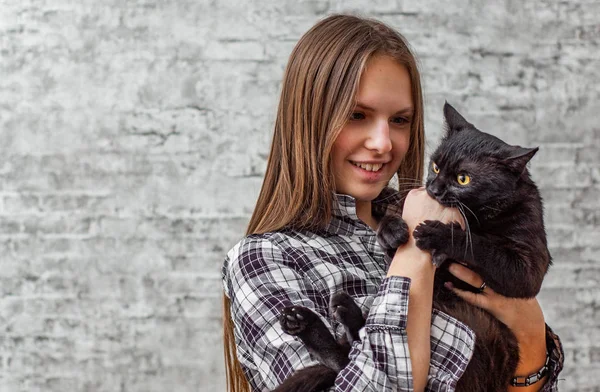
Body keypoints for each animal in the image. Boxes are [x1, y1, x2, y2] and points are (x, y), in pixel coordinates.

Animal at [274, 102, 552, 390]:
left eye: (463, 179)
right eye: (436, 166)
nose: (434, 188)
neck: (477, 217)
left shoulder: (528, 267)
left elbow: (481, 245)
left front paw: (440, 235)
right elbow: (394, 216)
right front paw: (392, 229)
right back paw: (310, 321)